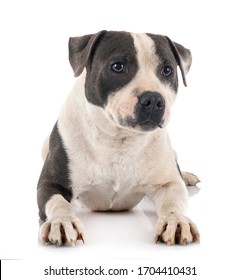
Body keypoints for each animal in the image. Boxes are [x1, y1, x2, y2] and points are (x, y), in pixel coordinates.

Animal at [36, 29, 200, 246]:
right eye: (117, 67)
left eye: (167, 70)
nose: (153, 99)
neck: (120, 140)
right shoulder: (51, 184)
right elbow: (59, 203)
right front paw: (62, 222)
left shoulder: (169, 184)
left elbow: (173, 203)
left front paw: (176, 221)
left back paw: (187, 176)